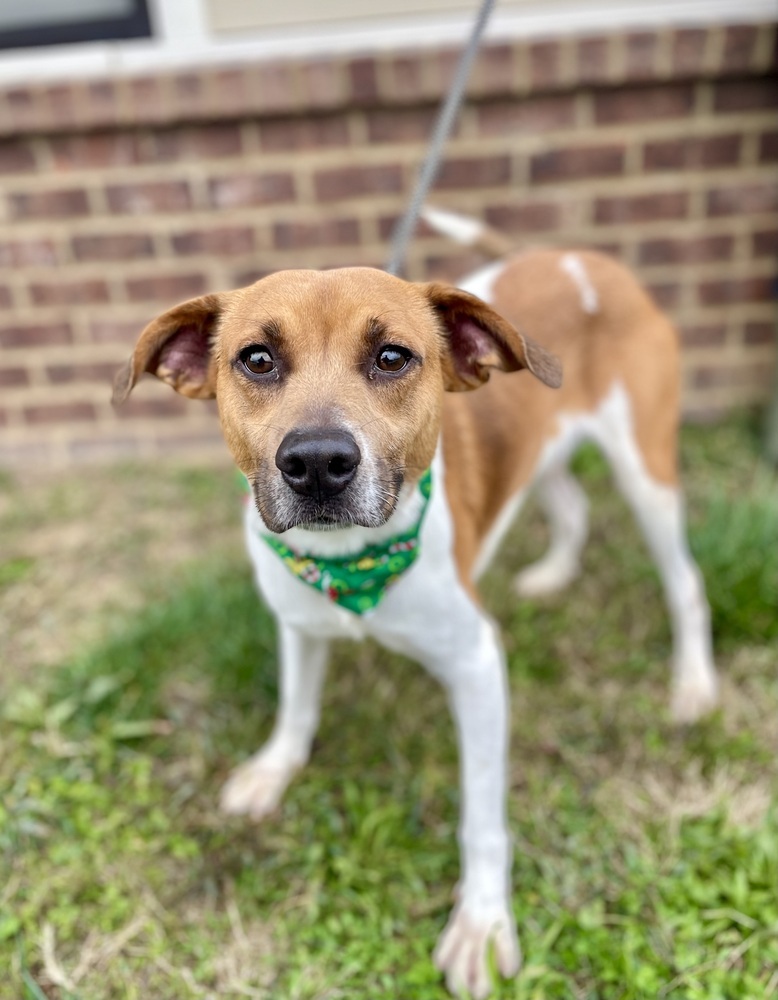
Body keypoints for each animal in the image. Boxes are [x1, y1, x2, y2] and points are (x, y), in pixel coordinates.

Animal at [113, 215, 716, 996]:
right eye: (257, 359)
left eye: (393, 356)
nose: (316, 462)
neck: (351, 566)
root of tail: (578, 257)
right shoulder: (297, 621)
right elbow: (296, 706)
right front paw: (274, 769)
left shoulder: (477, 668)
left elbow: (482, 815)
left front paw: (483, 925)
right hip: (542, 445)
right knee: (570, 503)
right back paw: (553, 574)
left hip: (647, 471)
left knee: (685, 583)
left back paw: (694, 685)